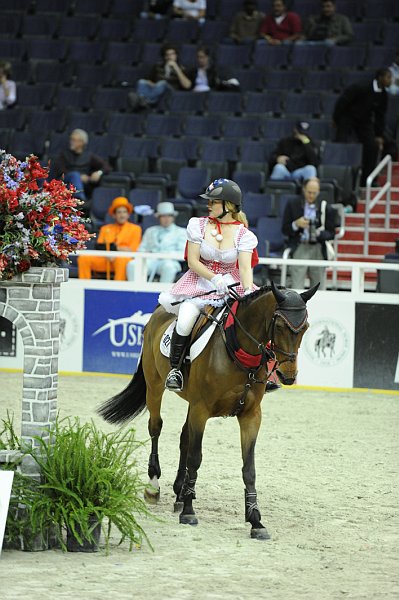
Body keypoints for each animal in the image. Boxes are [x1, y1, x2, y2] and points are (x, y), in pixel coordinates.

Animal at [99, 282, 318, 540]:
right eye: (281, 326)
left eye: (305, 327)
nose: (289, 376)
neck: (238, 349)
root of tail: (159, 311)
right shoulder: (201, 410)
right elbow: (196, 458)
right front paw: (189, 511)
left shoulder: (251, 416)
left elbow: (249, 468)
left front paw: (256, 520)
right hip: (155, 387)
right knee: (156, 427)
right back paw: (154, 487)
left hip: (190, 403)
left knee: (184, 437)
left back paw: (179, 492)